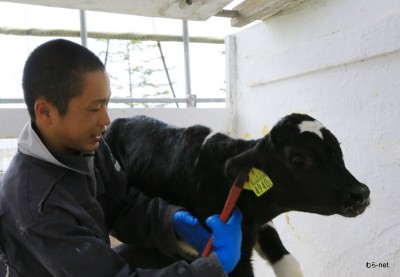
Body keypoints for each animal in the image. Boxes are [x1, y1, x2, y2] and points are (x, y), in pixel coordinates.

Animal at [104, 112, 372, 276]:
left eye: (338, 151)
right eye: (298, 160)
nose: (360, 193)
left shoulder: (259, 225)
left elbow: (290, 264)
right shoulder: (234, 254)